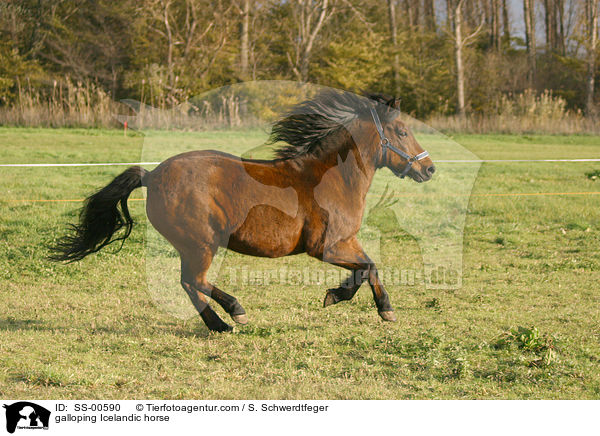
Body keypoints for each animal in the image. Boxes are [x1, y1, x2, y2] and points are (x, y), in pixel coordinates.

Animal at [50, 91, 436, 330]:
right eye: (401, 131)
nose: (428, 168)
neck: (330, 178)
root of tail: (152, 175)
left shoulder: (347, 241)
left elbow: (370, 267)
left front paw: (368, 305)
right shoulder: (324, 247)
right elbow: (367, 267)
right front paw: (353, 301)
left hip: (193, 246)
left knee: (189, 284)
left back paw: (218, 326)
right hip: (202, 243)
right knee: (195, 281)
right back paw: (236, 313)